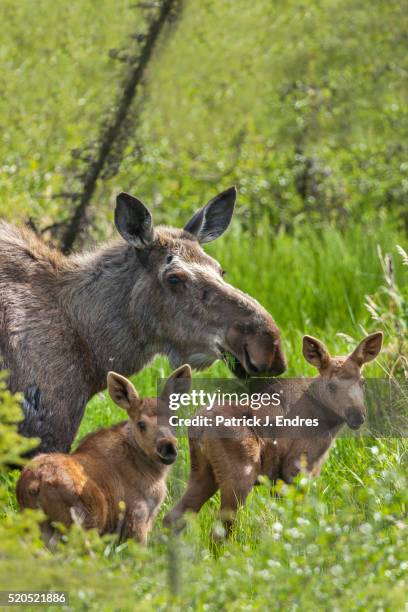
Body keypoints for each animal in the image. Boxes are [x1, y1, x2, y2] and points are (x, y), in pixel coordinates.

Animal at [16, 364, 192, 544]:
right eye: (141, 424)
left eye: (174, 420)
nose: (168, 447)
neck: (153, 473)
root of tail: (34, 485)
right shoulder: (137, 517)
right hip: (83, 522)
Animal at [163, 332, 382, 536]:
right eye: (332, 385)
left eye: (363, 382)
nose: (357, 415)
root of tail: (197, 429)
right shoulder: (296, 466)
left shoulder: (278, 478)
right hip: (240, 474)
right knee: (220, 528)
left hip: (202, 471)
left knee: (174, 517)